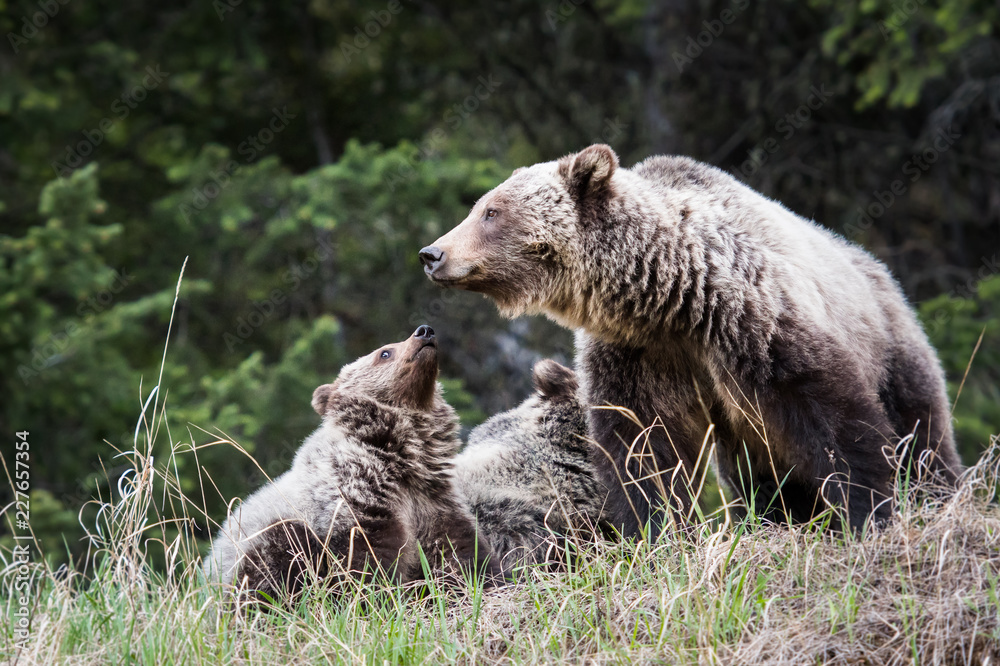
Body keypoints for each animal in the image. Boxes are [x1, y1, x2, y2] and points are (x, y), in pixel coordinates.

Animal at [203, 325, 504, 602]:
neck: (399, 460)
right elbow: (366, 558)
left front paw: (485, 581)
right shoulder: (352, 498)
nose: (424, 330)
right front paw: (376, 599)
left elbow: (459, 547)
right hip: (254, 550)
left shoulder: (432, 499)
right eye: (384, 352)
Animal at [419, 144, 962, 536]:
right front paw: (656, 529)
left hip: (889, 344)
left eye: (491, 211)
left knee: (920, 428)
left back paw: (936, 491)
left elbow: (829, 414)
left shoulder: (752, 322)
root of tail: (880, 271)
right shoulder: (640, 353)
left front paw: (870, 510)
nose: (432, 253)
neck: (670, 298)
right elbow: (642, 449)